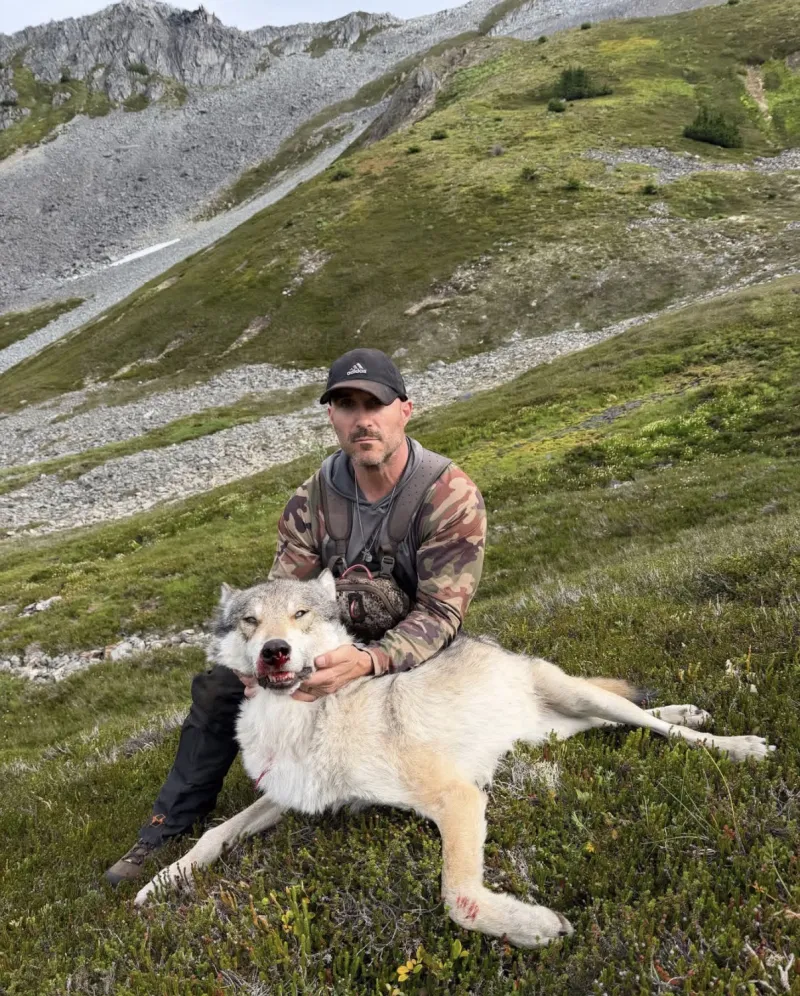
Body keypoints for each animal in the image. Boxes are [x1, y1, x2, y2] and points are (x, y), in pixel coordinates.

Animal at [134, 572, 773, 947]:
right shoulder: (290, 798)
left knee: (654, 725)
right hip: (557, 730)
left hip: (575, 697)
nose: (274, 652)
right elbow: (214, 834)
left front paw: (535, 926)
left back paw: (734, 742)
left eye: (300, 615)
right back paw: (691, 709)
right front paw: (158, 883)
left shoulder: (458, 798)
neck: (303, 720)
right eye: (249, 621)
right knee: (622, 720)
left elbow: (458, 898)